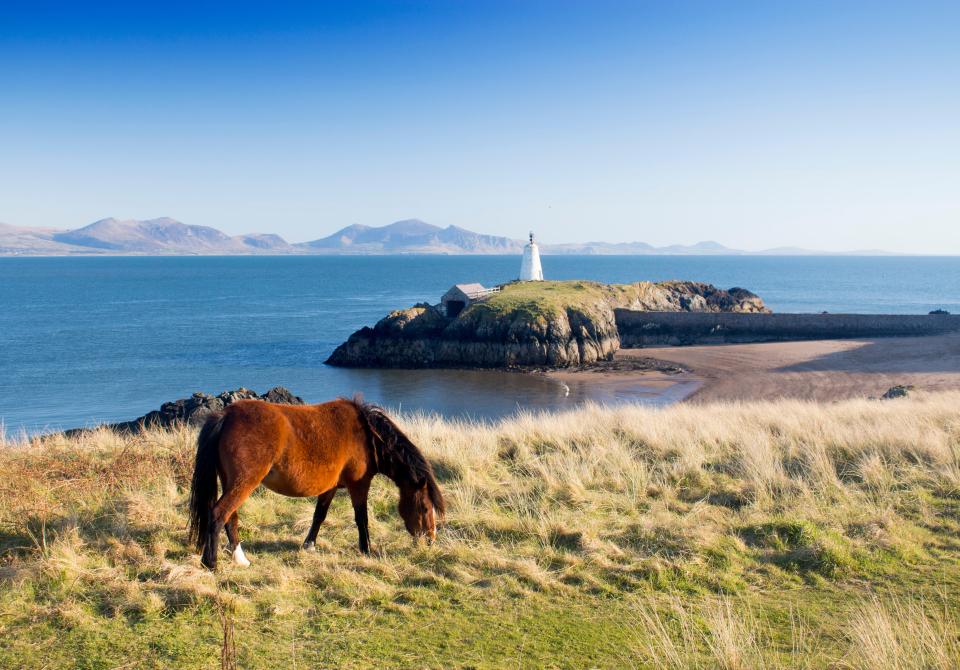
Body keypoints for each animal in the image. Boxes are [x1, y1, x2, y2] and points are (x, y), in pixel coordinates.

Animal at [188, 400, 446, 572]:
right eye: (425, 508)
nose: (430, 539)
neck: (368, 436)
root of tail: (225, 415)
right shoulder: (359, 485)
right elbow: (361, 518)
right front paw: (366, 549)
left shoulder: (329, 488)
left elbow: (319, 516)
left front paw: (309, 545)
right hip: (243, 483)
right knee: (219, 514)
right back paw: (211, 564)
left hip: (232, 482)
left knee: (230, 517)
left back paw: (240, 558)